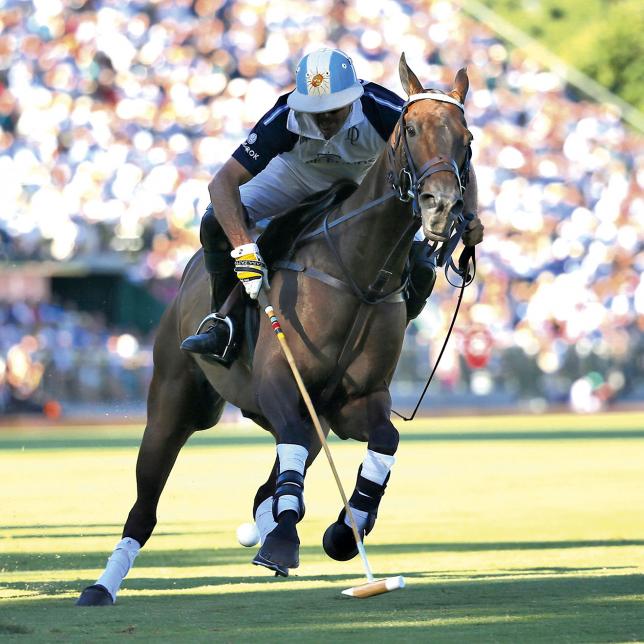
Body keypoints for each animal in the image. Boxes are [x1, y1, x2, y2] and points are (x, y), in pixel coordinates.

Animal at [78, 54, 476, 604]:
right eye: (410, 128)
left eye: (467, 138)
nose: (442, 207)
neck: (359, 272)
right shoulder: (280, 381)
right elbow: (292, 448)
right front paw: (285, 539)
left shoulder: (357, 399)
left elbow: (385, 440)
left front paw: (346, 530)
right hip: (175, 402)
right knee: (145, 505)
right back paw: (103, 585)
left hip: (309, 417)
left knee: (281, 471)